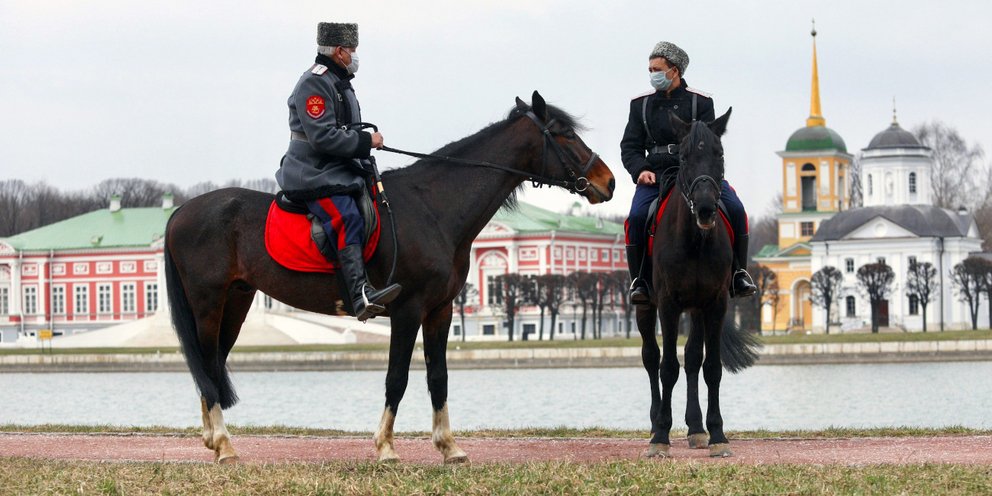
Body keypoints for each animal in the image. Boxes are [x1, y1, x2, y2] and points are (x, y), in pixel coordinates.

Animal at [164, 91, 616, 464]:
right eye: (564, 134)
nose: (608, 182)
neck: (432, 206)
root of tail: (180, 212)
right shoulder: (407, 309)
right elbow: (396, 378)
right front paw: (385, 448)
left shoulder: (440, 310)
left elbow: (438, 377)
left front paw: (449, 447)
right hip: (208, 304)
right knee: (206, 365)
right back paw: (224, 445)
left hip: (236, 303)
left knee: (211, 364)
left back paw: (214, 440)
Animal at [635, 108, 760, 459]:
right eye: (684, 156)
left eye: (719, 154)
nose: (705, 208)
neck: (695, 241)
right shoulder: (668, 304)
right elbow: (667, 367)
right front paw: (661, 436)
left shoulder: (714, 303)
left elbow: (710, 367)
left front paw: (716, 434)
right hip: (646, 308)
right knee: (651, 358)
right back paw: (655, 424)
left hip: (697, 310)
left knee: (692, 359)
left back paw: (696, 428)